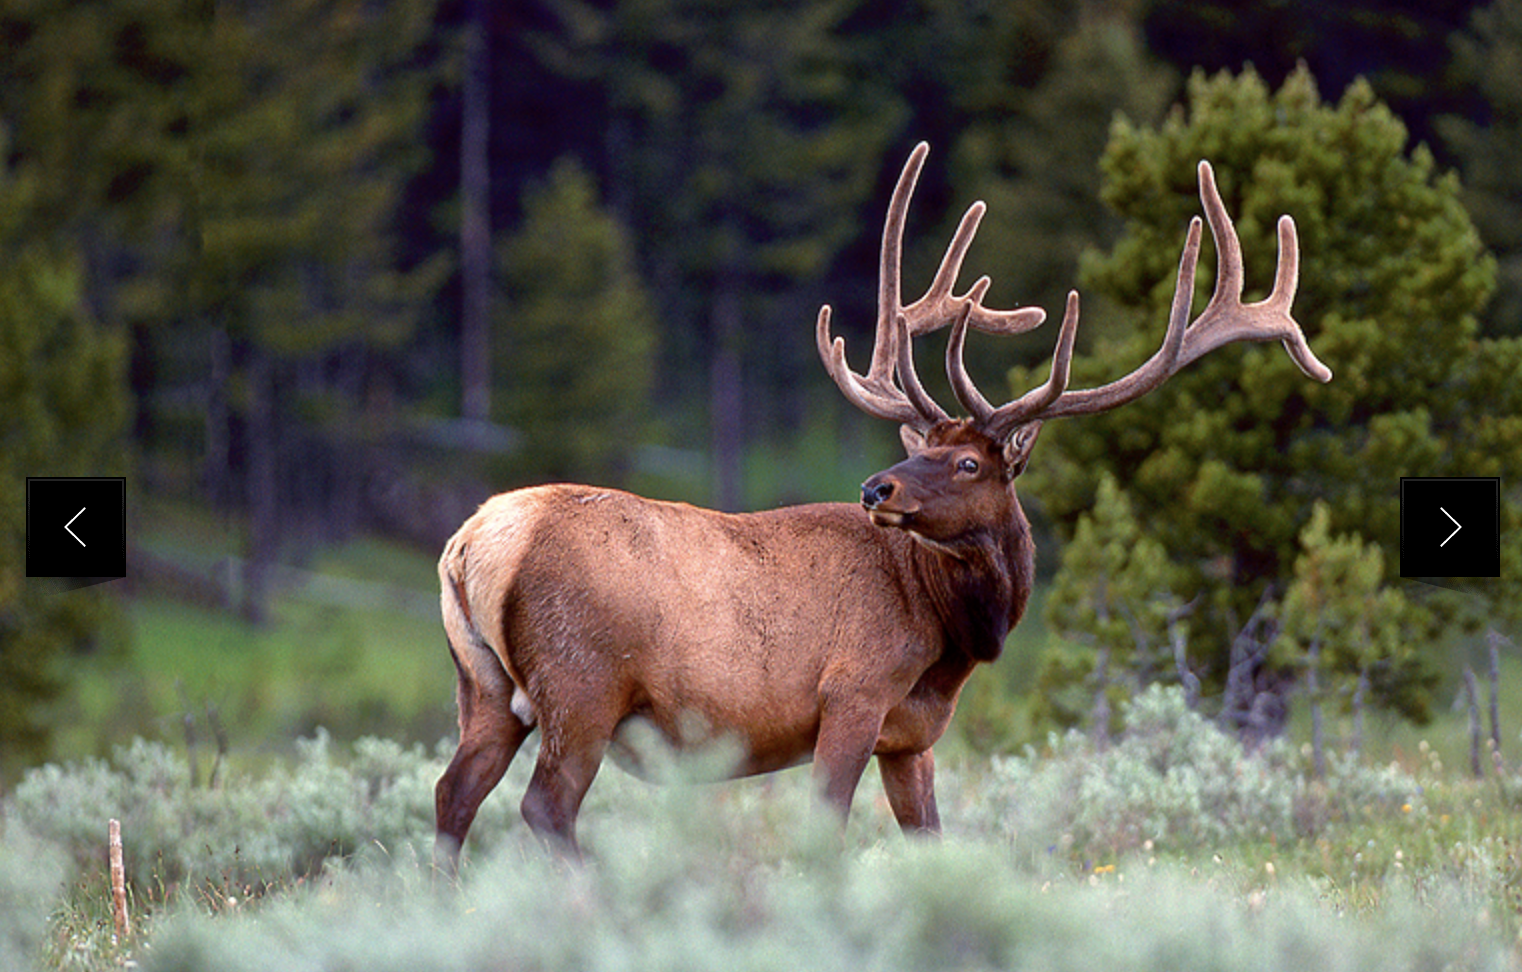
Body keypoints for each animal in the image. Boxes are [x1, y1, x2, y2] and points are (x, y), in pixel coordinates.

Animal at [434, 142, 1331, 863]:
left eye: (966, 460)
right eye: (925, 449)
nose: (876, 486)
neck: (947, 641)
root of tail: (474, 541)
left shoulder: (912, 736)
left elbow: (929, 838)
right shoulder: (853, 691)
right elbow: (823, 831)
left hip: (485, 689)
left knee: (452, 796)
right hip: (582, 684)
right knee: (543, 808)